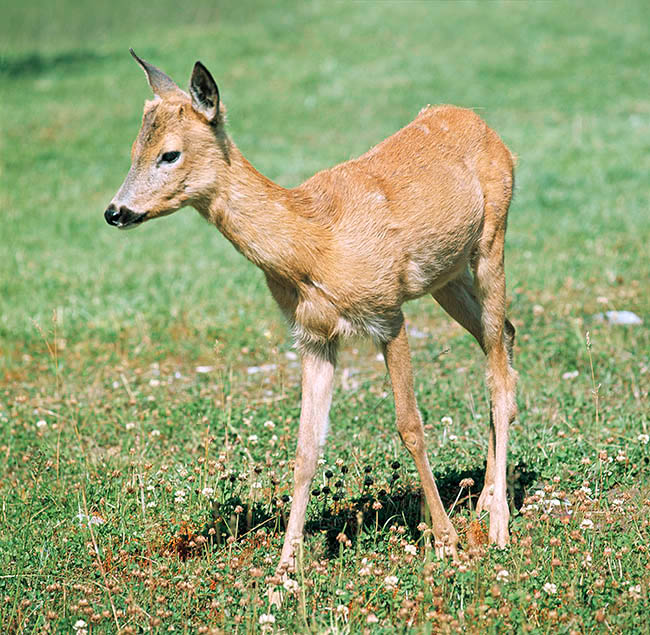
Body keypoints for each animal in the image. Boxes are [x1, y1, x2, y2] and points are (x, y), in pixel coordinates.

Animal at [104, 53, 512, 572]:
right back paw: (484, 498)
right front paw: (285, 568)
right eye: (134, 148)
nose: (115, 211)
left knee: (498, 370)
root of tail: (484, 124)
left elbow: (410, 426)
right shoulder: (314, 336)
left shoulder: (388, 313)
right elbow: (305, 448)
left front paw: (445, 541)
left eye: (169, 154)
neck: (313, 247)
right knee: (505, 337)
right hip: (447, 277)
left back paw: (498, 521)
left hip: (492, 240)